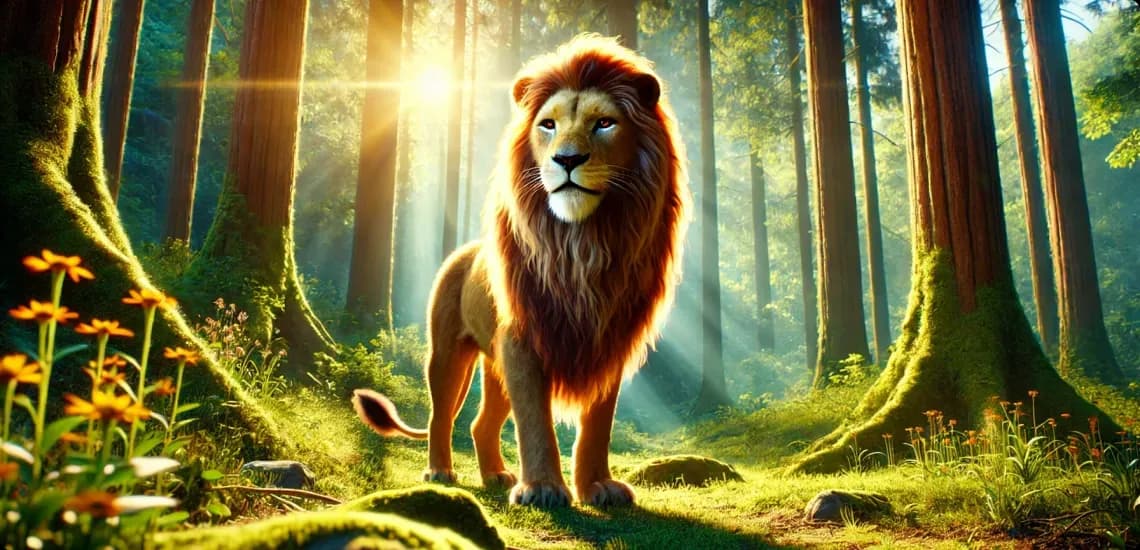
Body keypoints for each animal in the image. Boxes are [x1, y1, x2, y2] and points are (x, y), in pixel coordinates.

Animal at [353, 35, 689, 508]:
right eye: (548, 125)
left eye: (604, 123)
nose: (567, 159)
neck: (581, 244)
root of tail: (463, 252)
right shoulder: (523, 338)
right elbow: (534, 419)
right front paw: (543, 489)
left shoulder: (608, 341)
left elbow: (598, 423)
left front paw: (598, 487)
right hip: (447, 351)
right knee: (441, 415)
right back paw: (440, 472)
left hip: (495, 367)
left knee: (481, 423)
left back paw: (495, 475)